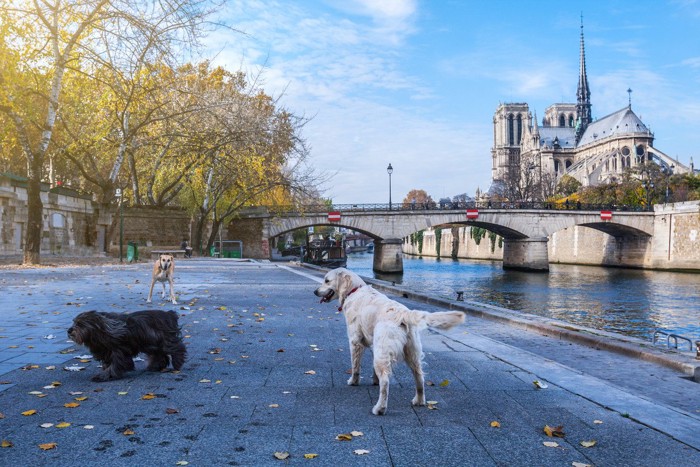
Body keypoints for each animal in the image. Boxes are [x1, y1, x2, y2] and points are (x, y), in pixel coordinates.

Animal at [314, 268, 462, 414]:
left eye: (327, 281)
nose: (315, 291)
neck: (354, 291)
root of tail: (403, 313)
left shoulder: (355, 341)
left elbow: (355, 366)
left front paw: (353, 381)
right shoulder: (374, 344)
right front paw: (374, 381)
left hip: (385, 350)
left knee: (385, 381)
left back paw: (380, 408)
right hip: (411, 353)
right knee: (419, 376)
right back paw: (419, 401)